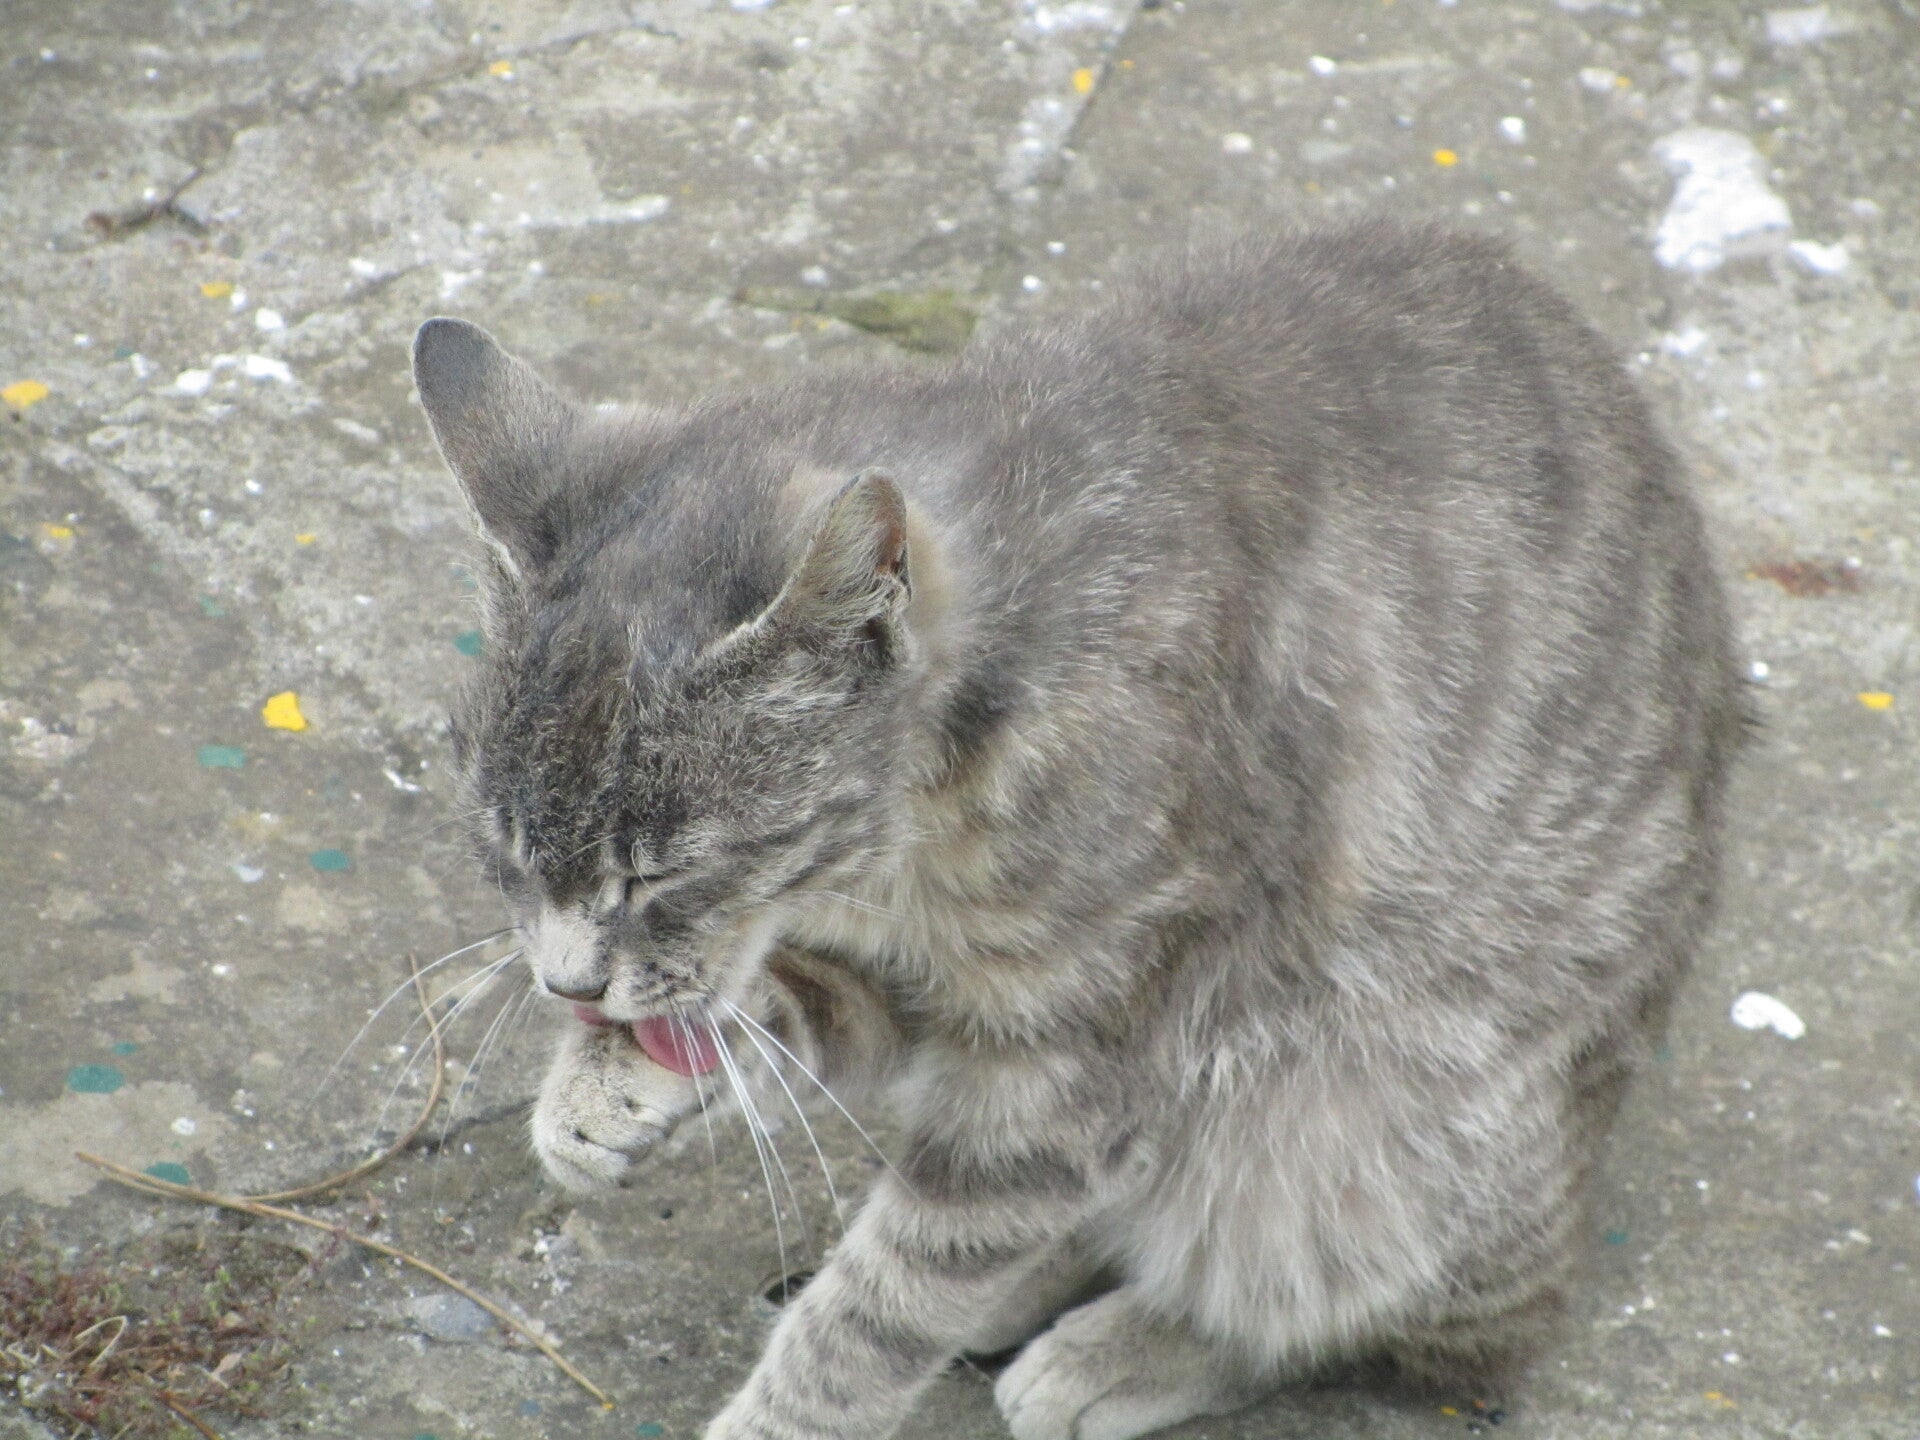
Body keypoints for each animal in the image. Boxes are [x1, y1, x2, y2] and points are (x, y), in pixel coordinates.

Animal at [411, 220, 1744, 1440]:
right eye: (504, 850)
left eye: (666, 872)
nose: (563, 983)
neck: (914, 840)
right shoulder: (913, 988)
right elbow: (783, 1010)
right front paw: (598, 1088)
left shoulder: (1067, 1065)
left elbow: (883, 1308)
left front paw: (792, 1408)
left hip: (1371, 1116)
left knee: (1370, 1315)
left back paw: (1126, 1350)